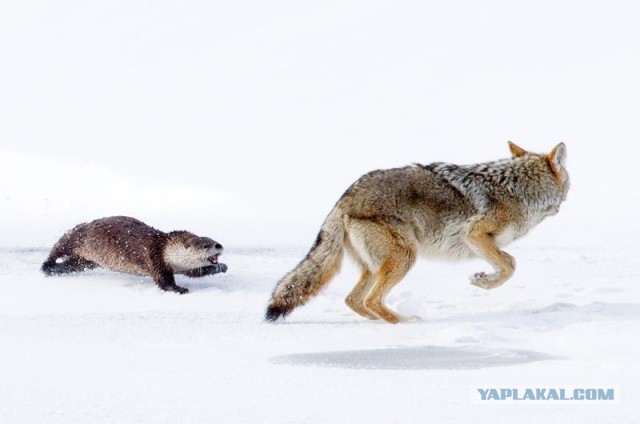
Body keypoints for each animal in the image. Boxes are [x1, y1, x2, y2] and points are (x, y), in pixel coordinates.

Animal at [41, 217, 226, 294]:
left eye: (213, 240)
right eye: (205, 245)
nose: (219, 245)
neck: (166, 249)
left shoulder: (181, 266)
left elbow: (194, 272)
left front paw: (221, 266)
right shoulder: (154, 258)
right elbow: (164, 281)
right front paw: (179, 289)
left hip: (86, 260)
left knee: (72, 264)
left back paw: (56, 269)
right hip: (76, 237)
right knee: (58, 247)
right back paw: (47, 265)